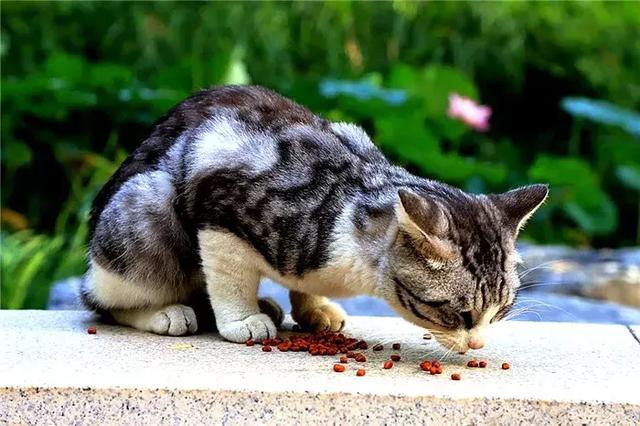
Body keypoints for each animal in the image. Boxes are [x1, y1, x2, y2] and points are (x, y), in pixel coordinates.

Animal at [81, 85, 552, 352]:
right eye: (461, 314)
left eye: (501, 311)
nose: (478, 344)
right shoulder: (220, 210)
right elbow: (230, 279)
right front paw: (240, 319)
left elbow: (302, 283)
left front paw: (314, 308)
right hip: (145, 207)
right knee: (102, 302)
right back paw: (168, 312)